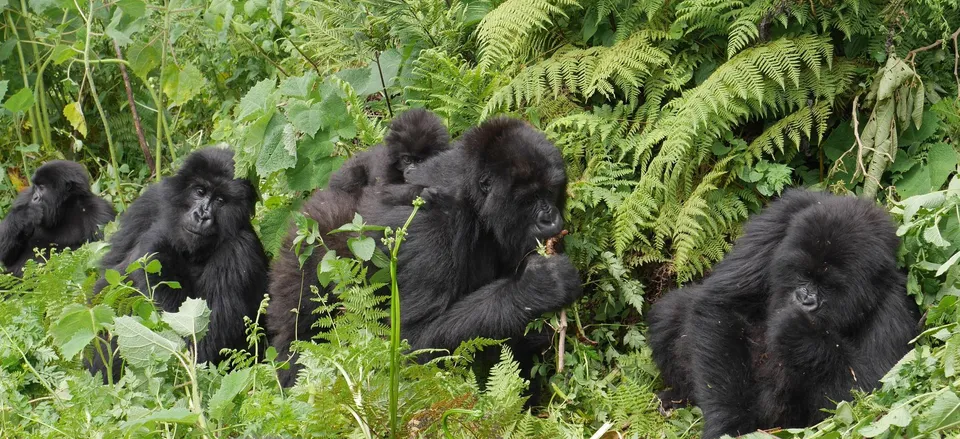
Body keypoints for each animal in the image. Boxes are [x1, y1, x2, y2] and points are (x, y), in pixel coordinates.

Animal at [89, 149, 266, 382]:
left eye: (220, 200)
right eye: (199, 191)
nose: (201, 215)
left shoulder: (240, 251)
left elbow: (199, 347)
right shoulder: (152, 200)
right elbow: (106, 282)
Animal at [266, 117, 580, 388]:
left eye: (550, 192)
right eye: (528, 199)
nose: (550, 218)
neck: (475, 202)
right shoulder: (435, 225)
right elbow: (412, 343)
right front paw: (538, 286)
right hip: (307, 248)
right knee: (299, 333)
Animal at [648, 190, 920, 439]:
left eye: (828, 287)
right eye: (802, 274)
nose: (804, 300)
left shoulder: (895, 308)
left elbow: (868, 395)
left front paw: (800, 332)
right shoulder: (779, 218)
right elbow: (722, 304)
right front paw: (728, 423)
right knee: (672, 310)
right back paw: (677, 397)